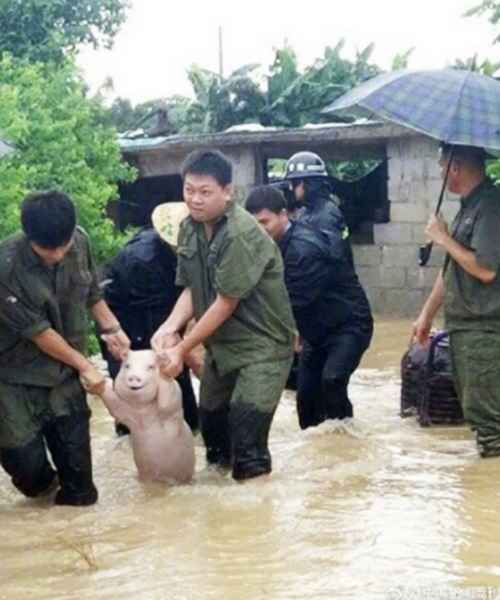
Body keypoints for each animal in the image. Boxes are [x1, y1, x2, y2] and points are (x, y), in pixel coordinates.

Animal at [99, 350, 195, 486]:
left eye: (151, 367)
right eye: (127, 366)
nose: (134, 377)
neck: (143, 412)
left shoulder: (173, 409)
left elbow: (167, 404)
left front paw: (163, 363)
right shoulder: (127, 415)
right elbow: (114, 406)